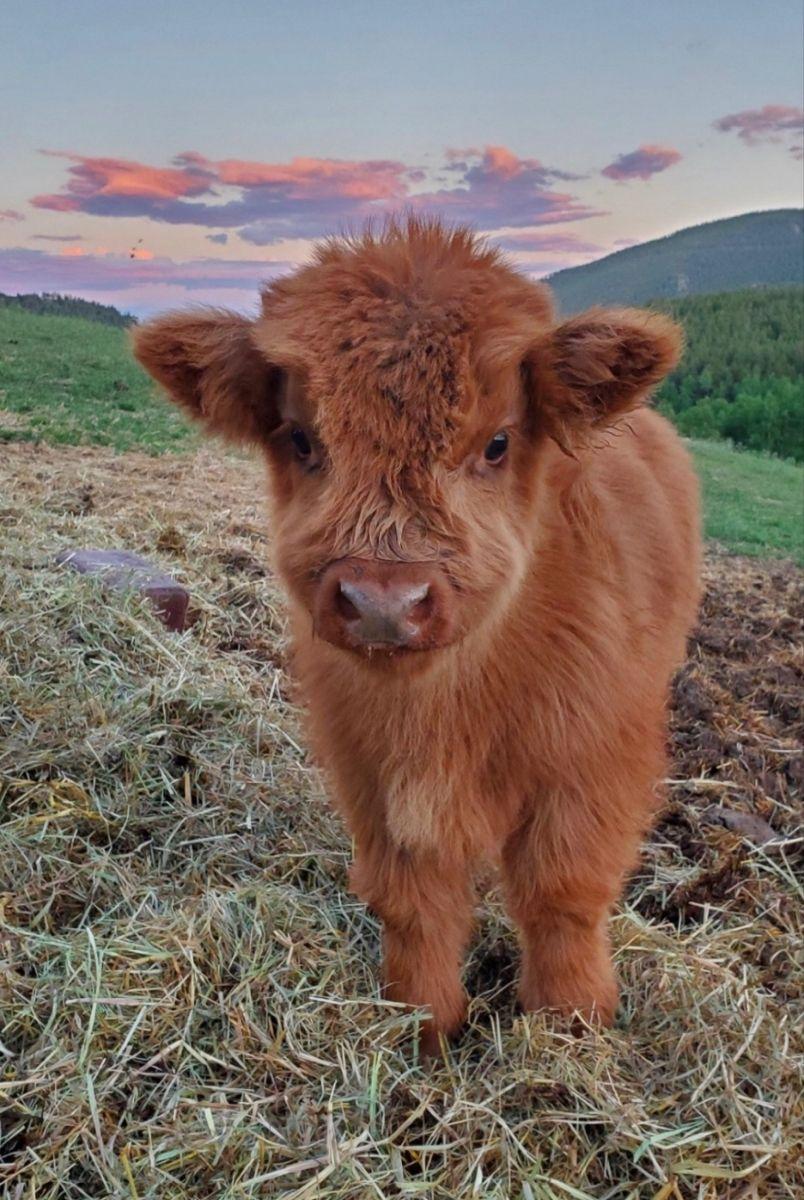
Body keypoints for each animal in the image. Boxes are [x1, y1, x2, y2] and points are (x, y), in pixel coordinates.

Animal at [134, 218, 701, 1056]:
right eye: (300, 438)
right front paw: (422, 1025)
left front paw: (571, 1025)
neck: (450, 707)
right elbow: (413, 901)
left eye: (497, 443)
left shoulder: (594, 760)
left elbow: (563, 889)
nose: (383, 602)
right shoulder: (370, 770)